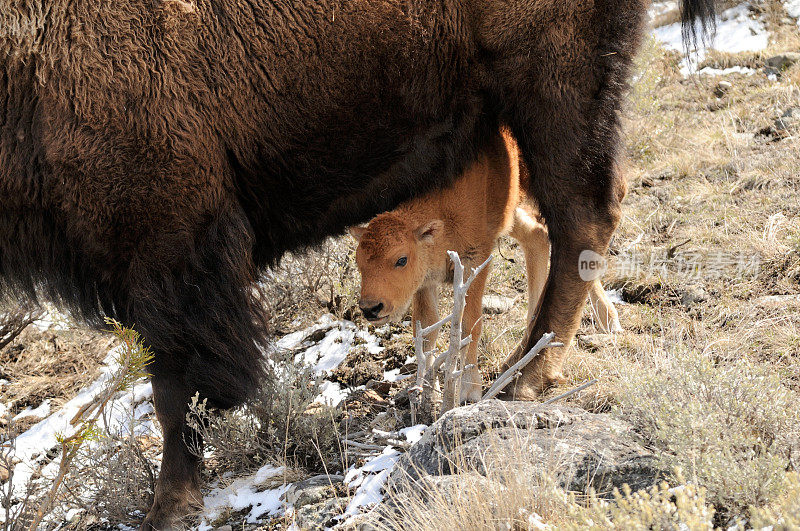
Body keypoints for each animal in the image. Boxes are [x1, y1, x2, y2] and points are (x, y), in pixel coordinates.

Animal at [0, 0, 712, 524]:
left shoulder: (167, 245)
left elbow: (179, 390)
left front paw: (169, 507)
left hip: (558, 85)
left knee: (583, 215)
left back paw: (525, 375)